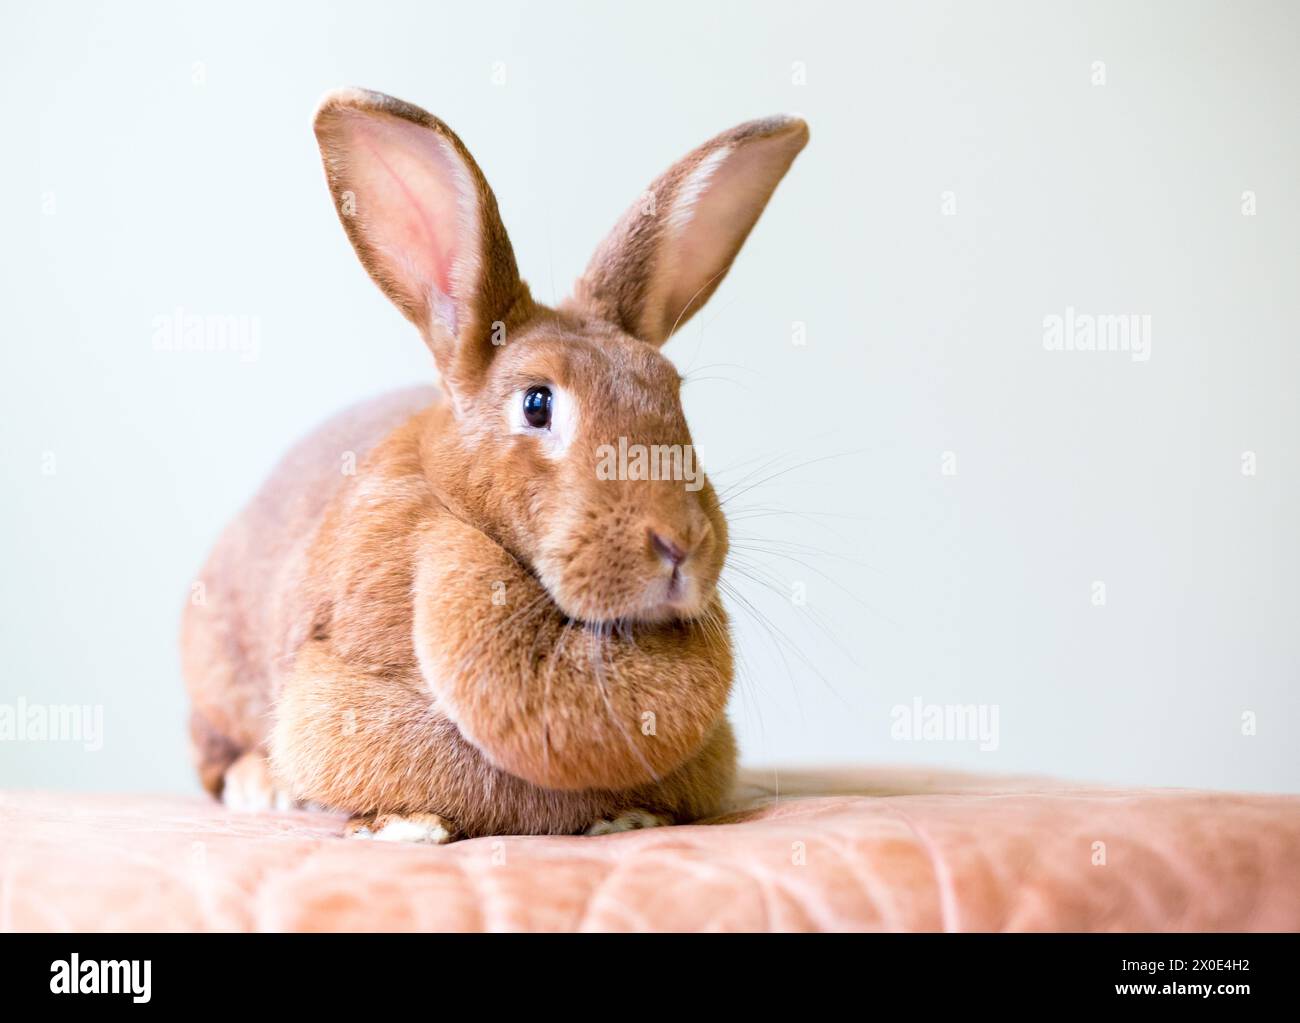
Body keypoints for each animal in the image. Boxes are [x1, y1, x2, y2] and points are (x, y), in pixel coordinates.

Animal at [180, 87, 811, 842]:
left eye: (674, 392)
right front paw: (407, 826)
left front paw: (627, 819)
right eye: (538, 404)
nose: (681, 543)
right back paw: (261, 786)